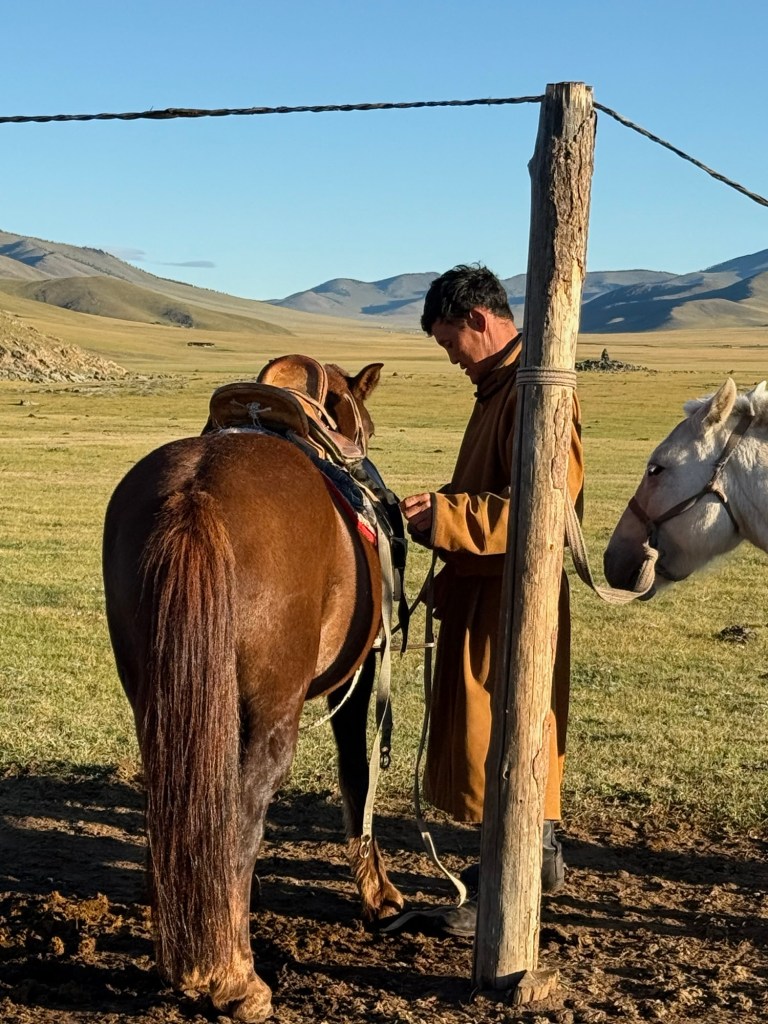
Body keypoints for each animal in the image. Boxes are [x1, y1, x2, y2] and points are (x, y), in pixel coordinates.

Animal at [102, 354, 405, 1022]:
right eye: (367, 424)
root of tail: (196, 493)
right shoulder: (358, 674)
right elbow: (358, 774)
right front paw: (379, 894)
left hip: (156, 697)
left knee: (177, 794)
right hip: (272, 713)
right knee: (241, 808)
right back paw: (233, 975)